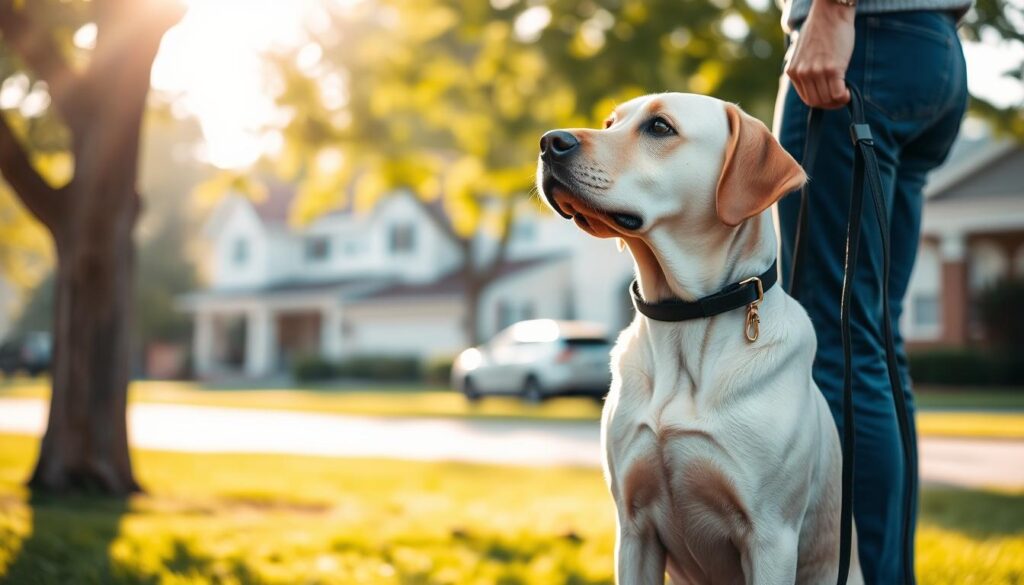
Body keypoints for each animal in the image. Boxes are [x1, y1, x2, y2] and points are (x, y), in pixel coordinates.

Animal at [540, 93, 860, 581]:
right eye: (610, 123)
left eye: (659, 127)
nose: (548, 142)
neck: (683, 320)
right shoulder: (633, 529)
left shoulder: (771, 537)